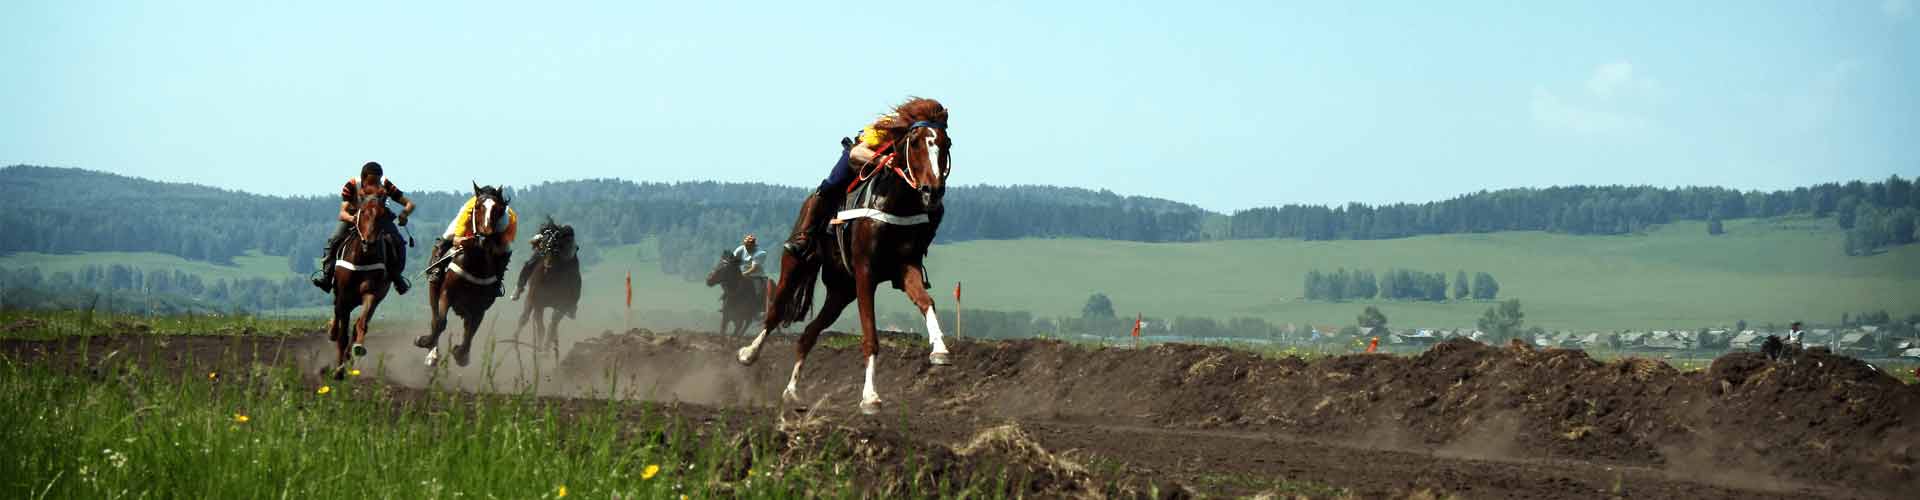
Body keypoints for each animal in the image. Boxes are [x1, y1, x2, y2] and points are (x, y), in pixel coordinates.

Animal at [322, 181, 405, 376]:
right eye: (363, 212)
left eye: (383, 214)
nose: (370, 242)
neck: (362, 258)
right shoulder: (343, 296)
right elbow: (342, 332)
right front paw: (338, 371)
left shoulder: (372, 294)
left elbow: (360, 325)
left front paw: (357, 349)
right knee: (337, 318)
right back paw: (332, 332)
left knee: (359, 323)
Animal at [414, 183, 510, 367]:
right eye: (478, 206)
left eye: (498, 209)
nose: (484, 238)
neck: (475, 264)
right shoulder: (447, 293)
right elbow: (440, 322)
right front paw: (425, 343)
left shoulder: (480, 306)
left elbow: (471, 331)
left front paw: (461, 354)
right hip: (434, 290)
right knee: (435, 318)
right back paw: (432, 353)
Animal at [737, 99, 956, 415]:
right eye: (915, 143)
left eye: (945, 143)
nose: (933, 191)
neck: (895, 202)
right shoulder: (866, 272)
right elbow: (870, 337)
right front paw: (870, 396)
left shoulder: (904, 266)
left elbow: (926, 302)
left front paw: (940, 349)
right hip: (796, 265)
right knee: (775, 311)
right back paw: (749, 353)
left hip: (842, 291)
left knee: (809, 333)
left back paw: (792, 392)